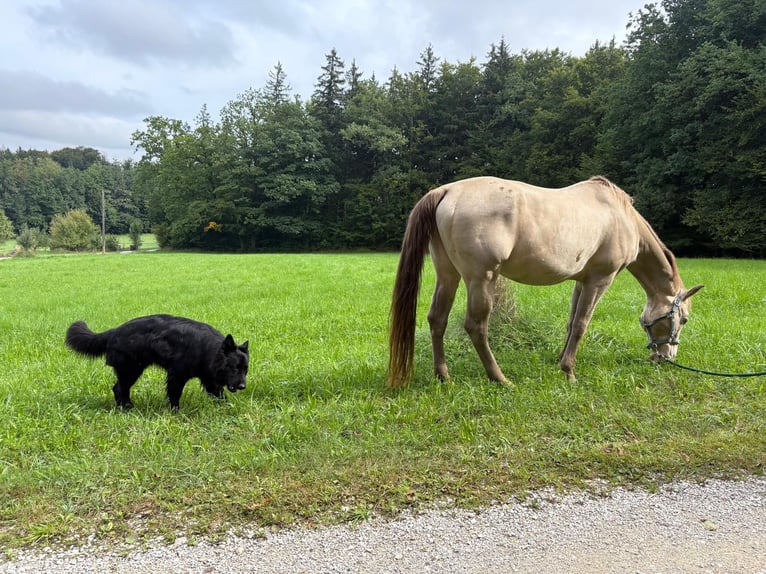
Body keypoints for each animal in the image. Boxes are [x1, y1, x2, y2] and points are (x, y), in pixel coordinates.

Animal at [387, 176, 703, 388]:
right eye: (684, 319)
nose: (665, 356)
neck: (622, 217)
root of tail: (448, 190)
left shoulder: (581, 281)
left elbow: (571, 322)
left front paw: (561, 361)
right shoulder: (600, 280)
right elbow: (581, 325)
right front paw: (569, 372)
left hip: (448, 276)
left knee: (437, 319)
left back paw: (444, 376)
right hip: (481, 279)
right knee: (476, 326)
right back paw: (499, 378)